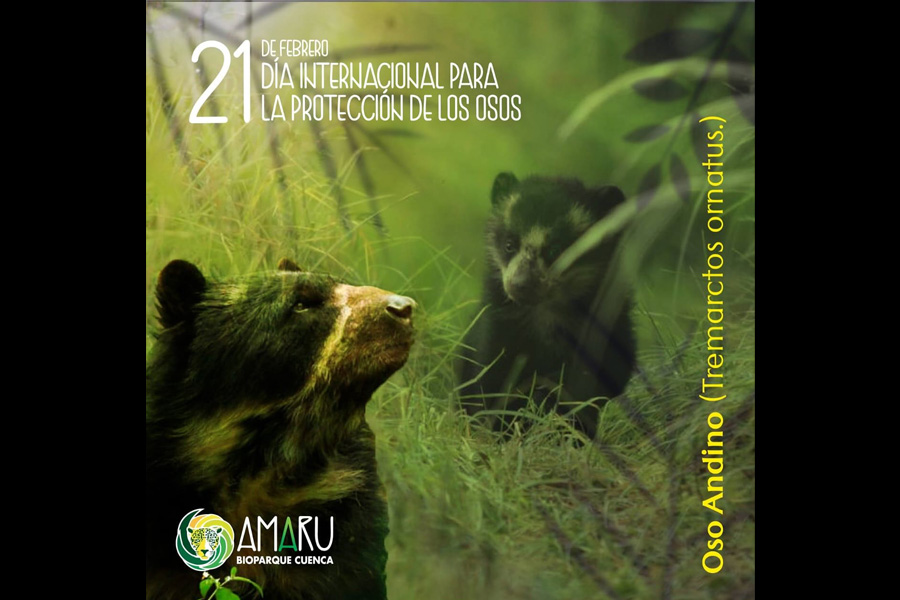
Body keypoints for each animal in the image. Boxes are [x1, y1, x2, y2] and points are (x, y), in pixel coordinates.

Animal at [457, 172, 636, 440]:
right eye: (509, 244)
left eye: (555, 249)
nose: (520, 285)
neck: (547, 312)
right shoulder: (498, 323)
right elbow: (487, 371)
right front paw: (495, 430)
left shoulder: (607, 324)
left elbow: (601, 377)